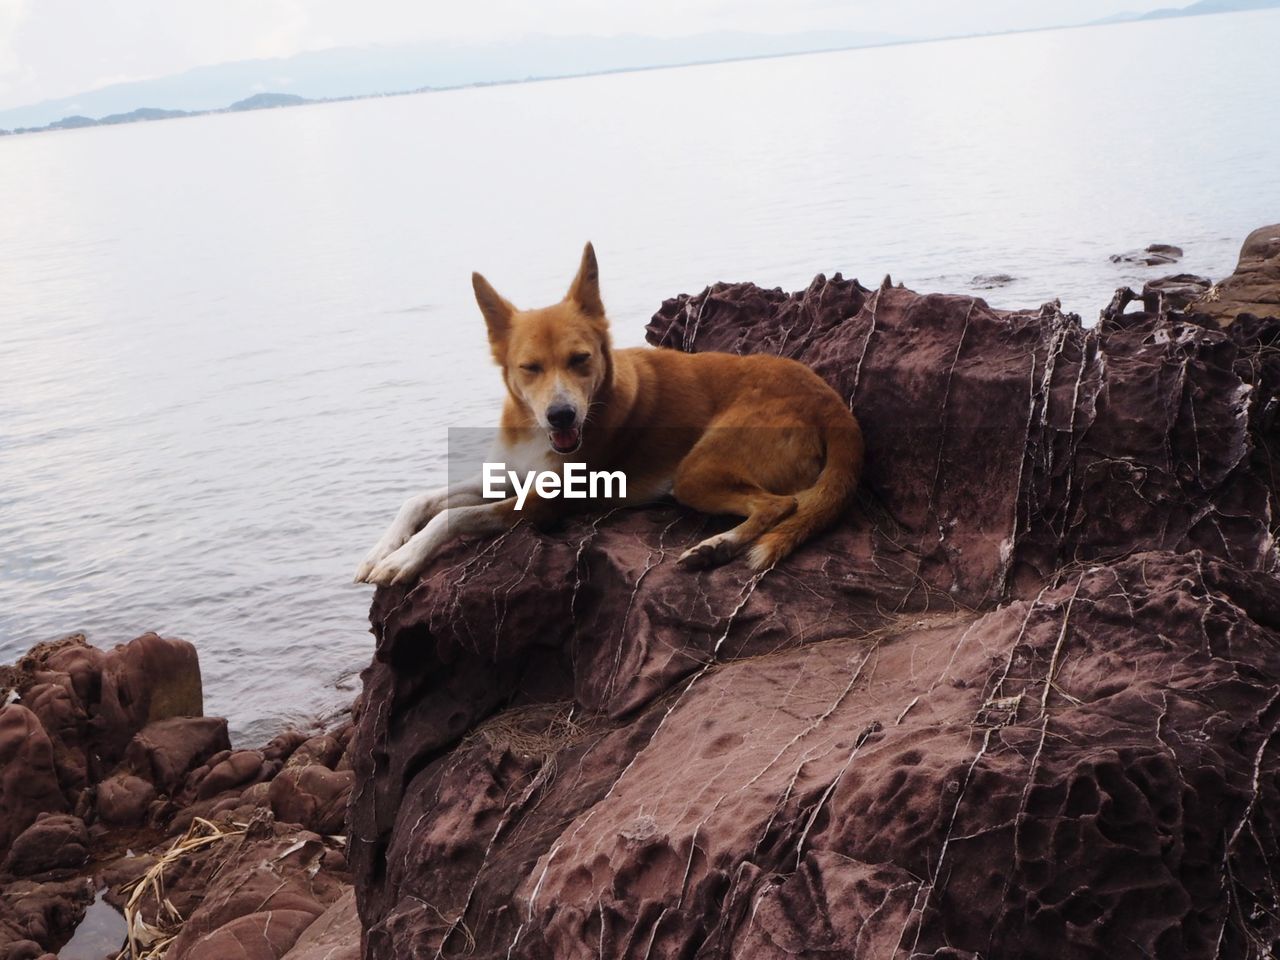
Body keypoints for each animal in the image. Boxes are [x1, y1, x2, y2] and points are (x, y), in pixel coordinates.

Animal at [355, 244, 865, 591]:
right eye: (529, 367)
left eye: (580, 359)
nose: (561, 416)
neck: (532, 429)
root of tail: (831, 401)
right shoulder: (508, 475)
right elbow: (421, 500)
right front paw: (382, 549)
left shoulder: (540, 505)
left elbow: (452, 517)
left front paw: (403, 560)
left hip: (697, 470)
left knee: (781, 505)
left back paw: (716, 546)